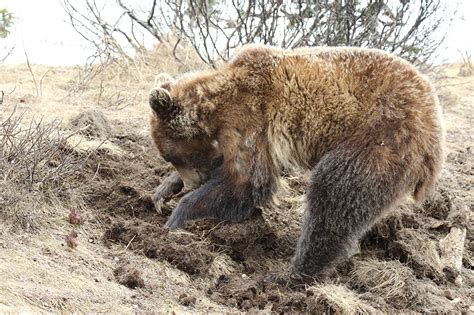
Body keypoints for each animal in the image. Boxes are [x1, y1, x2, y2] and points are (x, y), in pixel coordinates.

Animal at [148, 43, 444, 278]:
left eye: (172, 155)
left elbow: (247, 181)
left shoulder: (248, 117)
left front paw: (176, 219)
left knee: (335, 195)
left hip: (382, 137)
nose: (189, 182)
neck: (214, 104)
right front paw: (163, 192)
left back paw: (294, 271)